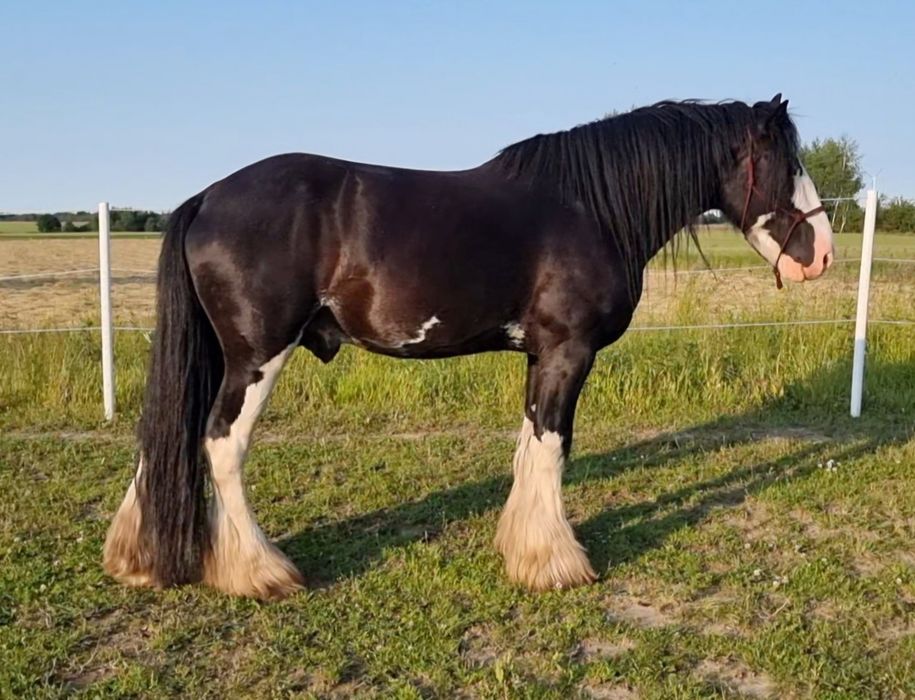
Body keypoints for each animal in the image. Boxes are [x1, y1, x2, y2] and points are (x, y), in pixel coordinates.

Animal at [103, 95, 834, 599]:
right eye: (784, 162)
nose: (822, 254)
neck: (589, 207)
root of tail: (207, 197)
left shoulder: (541, 355)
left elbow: (529, 447)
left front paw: (525, 550)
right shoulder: (568, 352)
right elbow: (552, 447)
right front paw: (555, 563)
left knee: (165, 433)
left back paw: (136, 558)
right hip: (257, 355)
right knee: (221, 442)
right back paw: (260, 571)